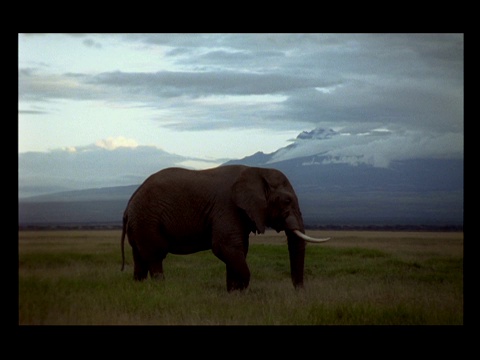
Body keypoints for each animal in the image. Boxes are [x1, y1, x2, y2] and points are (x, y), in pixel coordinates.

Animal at [120, 165, 330, 292]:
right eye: (287, 201)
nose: (299, 291)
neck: (256, 170)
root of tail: (129, 203)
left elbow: (238, 249)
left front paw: (233, 293)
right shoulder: (227, 207)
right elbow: (225, 247)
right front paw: (241, 290)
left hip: (140, 223)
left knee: (140, 259)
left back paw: (139, 288)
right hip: (147, 220)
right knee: (155, 256)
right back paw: (161, 289)